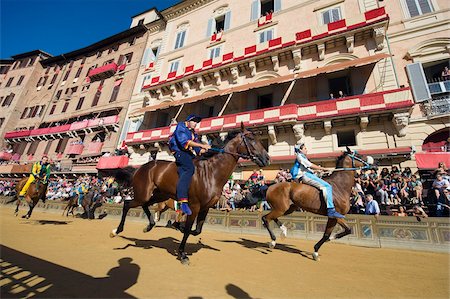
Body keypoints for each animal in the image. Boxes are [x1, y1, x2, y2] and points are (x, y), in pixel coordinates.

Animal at [110, 124, 268, 264]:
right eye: (251, 138)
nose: (266, 158)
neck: (211, 173)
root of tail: (140, 168)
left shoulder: (205, 208)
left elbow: (196, 230)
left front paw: (178, 227)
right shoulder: (194, 206)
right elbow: (187, 230)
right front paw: (182, 253)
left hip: (158, 196)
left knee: (145, 206)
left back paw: (149, 225)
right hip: (143, 194)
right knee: (127, 204)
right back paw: (116, 230)